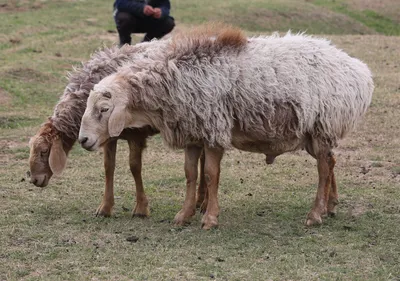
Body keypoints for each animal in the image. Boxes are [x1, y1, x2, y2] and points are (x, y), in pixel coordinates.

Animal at [27, 39, 208, 218]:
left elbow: (134, 167)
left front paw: (141, 208)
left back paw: (203, 203)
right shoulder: (106, 137)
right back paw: (200, 201)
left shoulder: (136, 134)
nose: (34, 180)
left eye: (44, 151)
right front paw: (105, 208)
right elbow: (108, 167)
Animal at [79, 25, 376, 229]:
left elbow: (211, 176)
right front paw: (184, 215)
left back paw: (315, 215)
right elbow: (190, 175)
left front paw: (210, 218)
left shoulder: (213, 130)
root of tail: (360, 71)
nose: (83, 140)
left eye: (103, 109)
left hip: (322, 126)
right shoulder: (193, 132)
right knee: (331, 161)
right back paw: (329, 207)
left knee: (323, 170)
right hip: (315, 134)